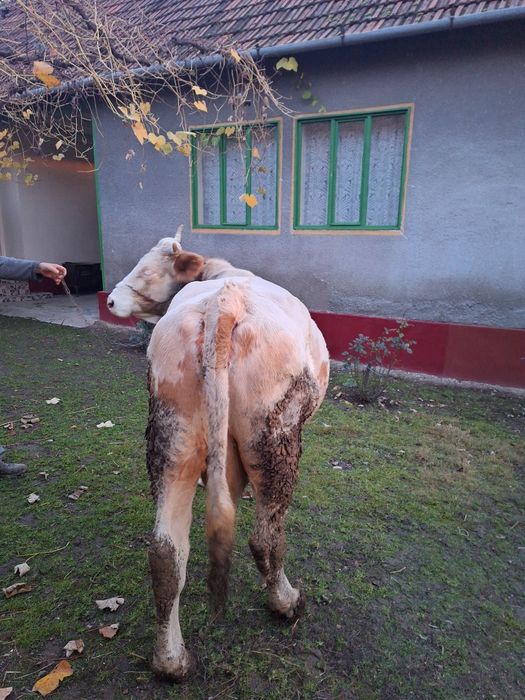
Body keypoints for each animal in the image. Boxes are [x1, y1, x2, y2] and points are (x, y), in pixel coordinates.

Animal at [107, 229, 329, 680]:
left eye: (147, 270)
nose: (111, 301)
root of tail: (224, 300)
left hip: (171, 435)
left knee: (166, 551)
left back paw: (171, 660)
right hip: (275, 435)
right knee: (266, 536)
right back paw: (285, 601)